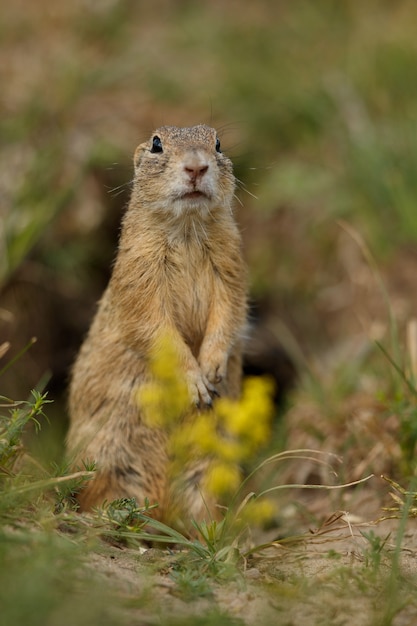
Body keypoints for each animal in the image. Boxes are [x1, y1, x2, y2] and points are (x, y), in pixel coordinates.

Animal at [66, 123, 245, 520]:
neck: (187, 228)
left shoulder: (231, 263)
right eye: (157, 144)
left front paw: (213, 368)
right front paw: (195, 383)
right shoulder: (139, 271)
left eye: (218, 144)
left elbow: (230, 311)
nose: (196, 167)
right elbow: (153, 324)